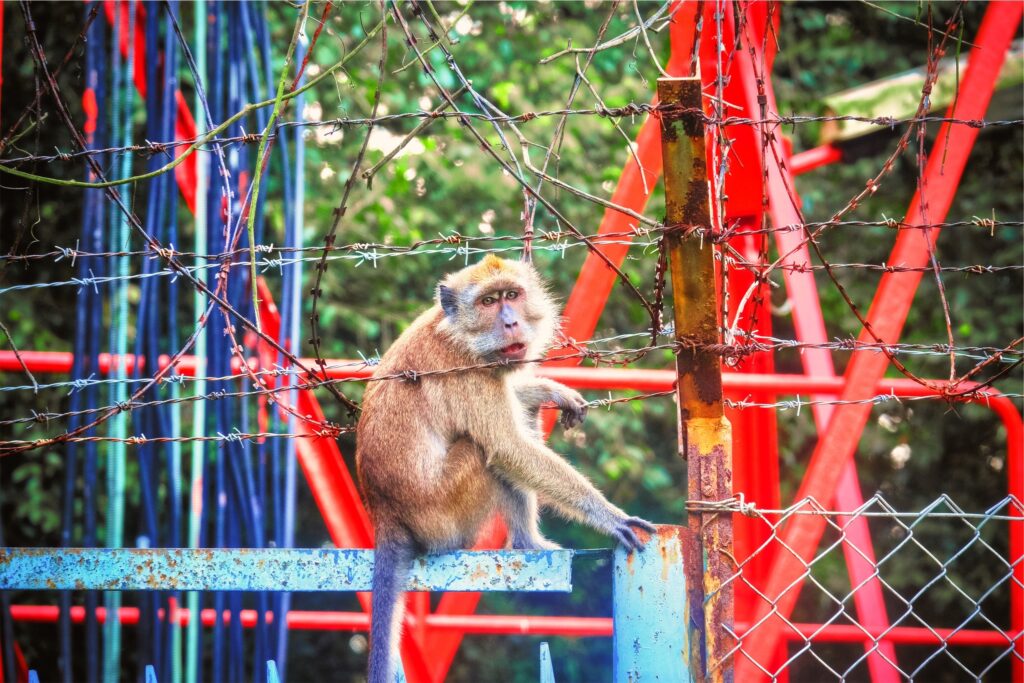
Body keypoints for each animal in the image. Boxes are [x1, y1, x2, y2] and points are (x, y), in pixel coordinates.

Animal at [355, 254, 655, 683]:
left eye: (512, 295)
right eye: (488, 301)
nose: (511, 321)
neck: (459, 333)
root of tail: (384, 512)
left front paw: (549, 389)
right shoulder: (467, 372)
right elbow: (508, 448)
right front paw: (609, 516)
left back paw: (528, 543)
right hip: (444, 517)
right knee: (485, 451)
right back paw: (528, 542)